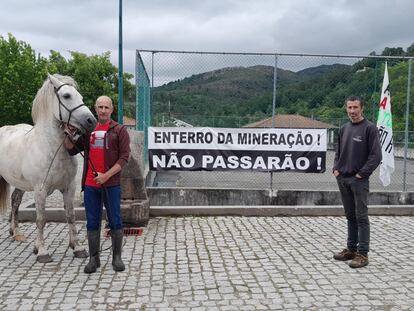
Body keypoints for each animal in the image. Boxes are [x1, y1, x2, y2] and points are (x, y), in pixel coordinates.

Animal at [0, 75, 96, 264]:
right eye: (66, 96)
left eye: (80, 96)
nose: (91, 121)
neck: (52, 148)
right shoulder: (40, 190)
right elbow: (41, 219)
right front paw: (42, 252)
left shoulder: (69, 187)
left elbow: (70, 216)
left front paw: (77, 248)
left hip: (21, 184)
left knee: (15, 201)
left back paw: (16, 233)